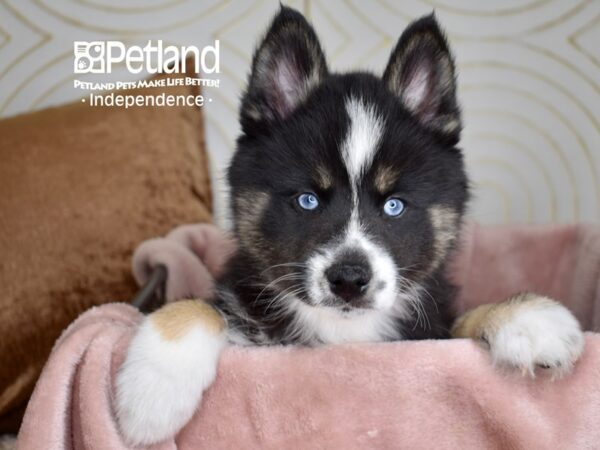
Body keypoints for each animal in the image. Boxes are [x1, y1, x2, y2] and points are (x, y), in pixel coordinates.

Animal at [115, 7, 584, 446]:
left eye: (394, 205)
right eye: (308, 200)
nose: (349, 280)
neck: (343, 333)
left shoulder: (427, 330)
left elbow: (463, 321)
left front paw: (527, 319)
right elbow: (201, 307)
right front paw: (150, 394)